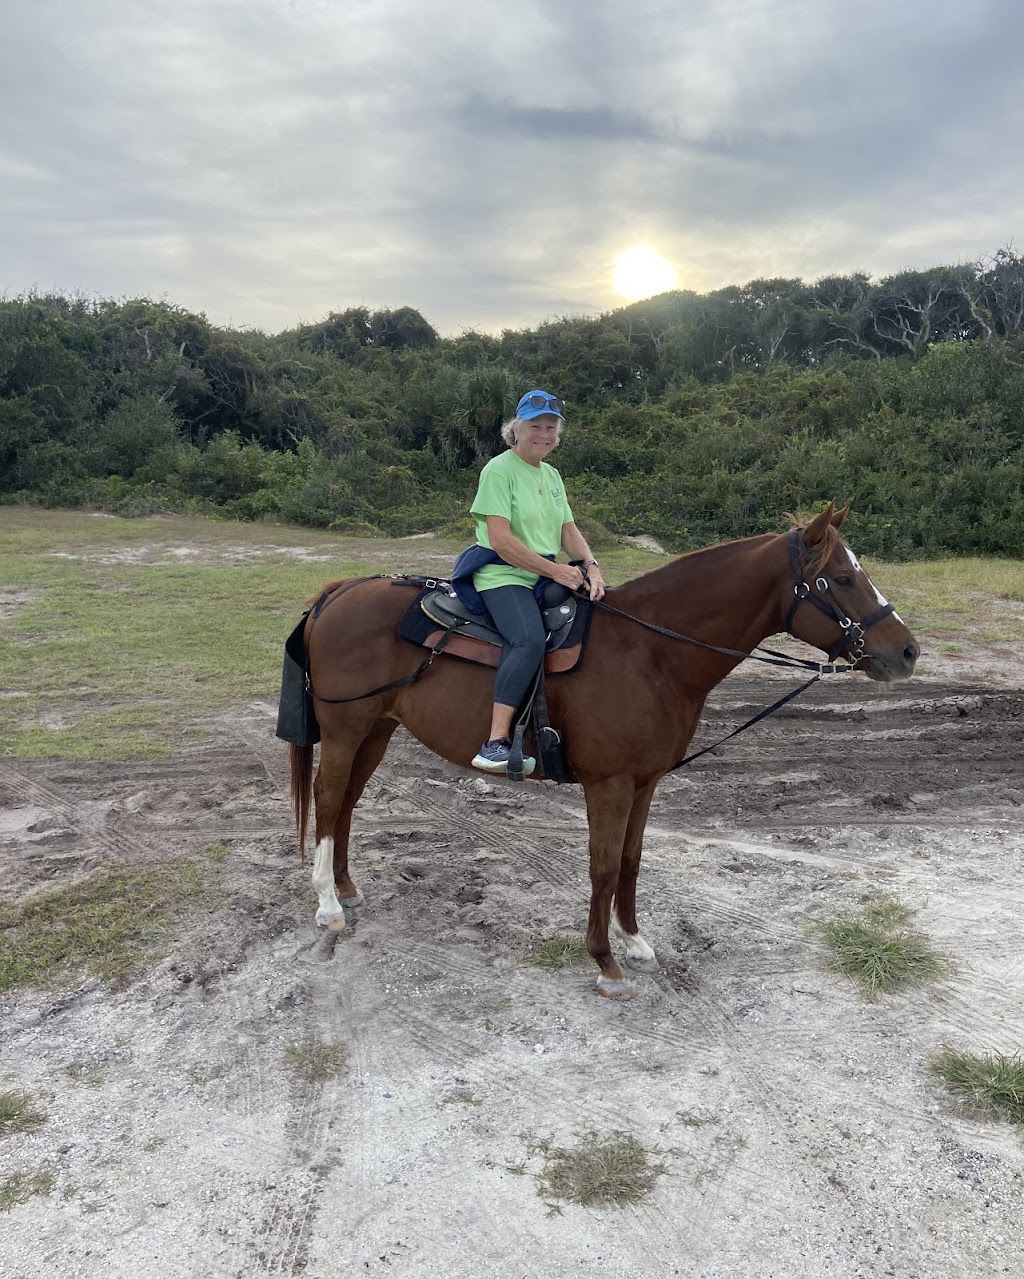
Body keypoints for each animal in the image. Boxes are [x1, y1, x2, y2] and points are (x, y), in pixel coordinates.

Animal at [287, 506, 920, 997]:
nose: (908, 651)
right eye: (841, 579)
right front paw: (606, 963)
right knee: (327, 797)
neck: (649, 651)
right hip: (345, 730)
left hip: (376, 731)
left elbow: (632, 861)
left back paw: (345, 887)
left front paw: (635, 941)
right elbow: (604, 864)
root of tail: (339, 591)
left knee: (347, 802)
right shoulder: (609, 783)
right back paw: (328, 906)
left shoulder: (646, 780)